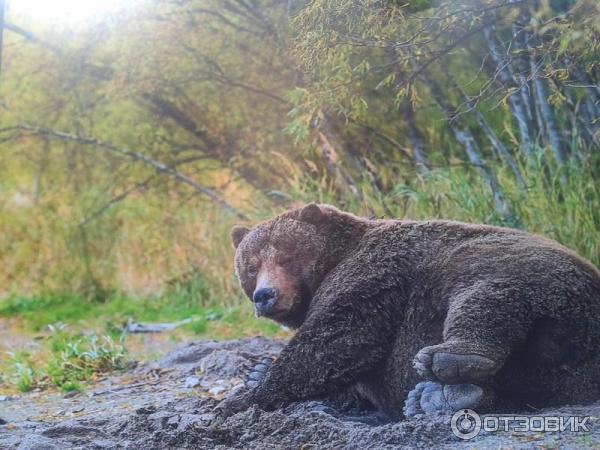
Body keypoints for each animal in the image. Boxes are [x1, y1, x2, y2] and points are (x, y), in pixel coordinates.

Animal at [218, 202, 600, 420]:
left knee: (486, 292)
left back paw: (447, 362)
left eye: (286, 256)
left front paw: (241, 398)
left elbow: (338, 341)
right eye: (251, 266)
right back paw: (437, 398)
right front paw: (255, 372)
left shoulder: (372, 275)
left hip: (514, 266)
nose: (265, 295)